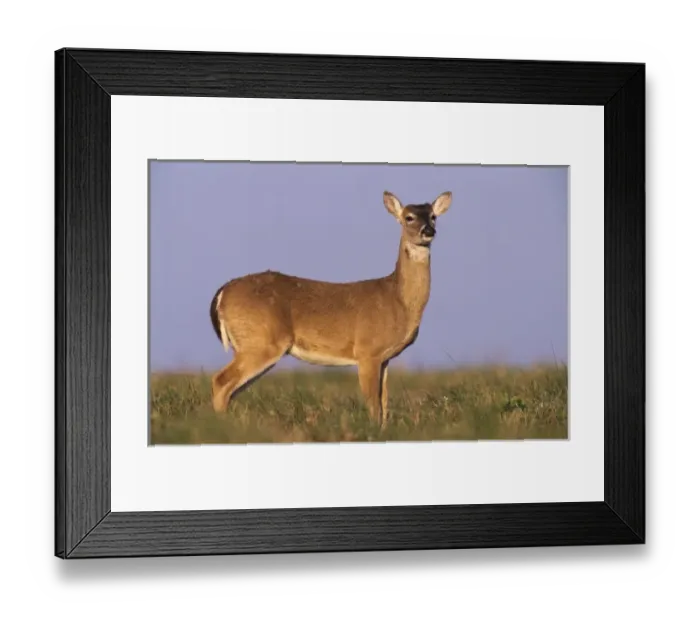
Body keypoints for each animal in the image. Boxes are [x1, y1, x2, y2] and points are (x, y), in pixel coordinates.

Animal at [208, 190, 453, 429]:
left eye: (433, 216)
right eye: (409, 217)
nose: (428, 230)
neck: (398, 300)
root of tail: (222, 293)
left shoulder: (385, 358)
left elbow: (384, 402)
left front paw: (384, 430)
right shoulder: (367, 351)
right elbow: (373, 403)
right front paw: (373, 431)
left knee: (230, 388)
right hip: (260, 341)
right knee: (220, 381)